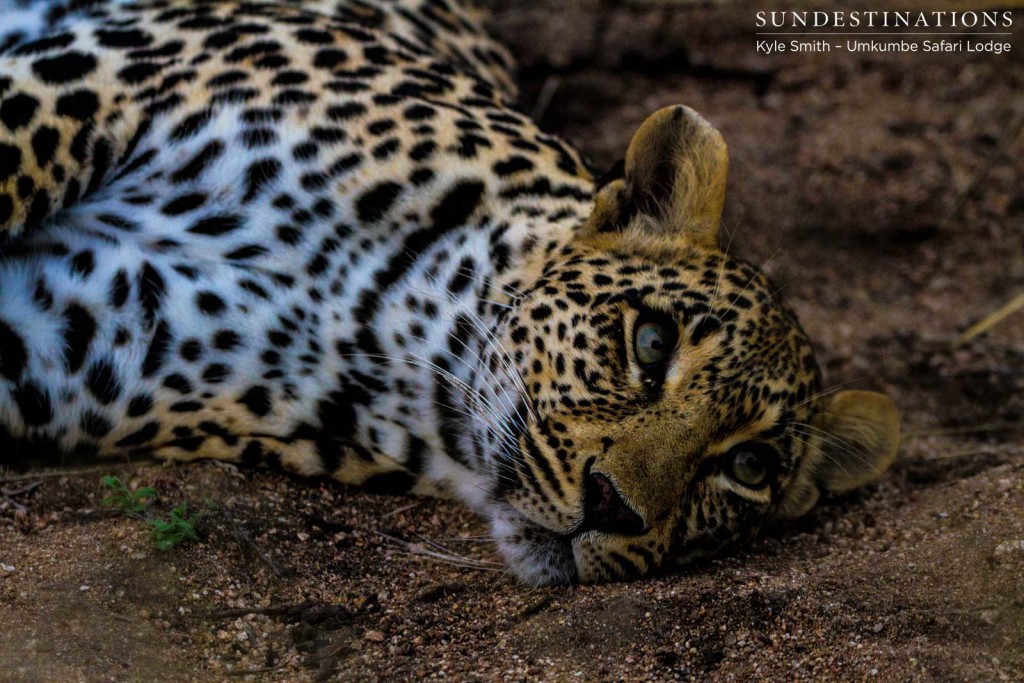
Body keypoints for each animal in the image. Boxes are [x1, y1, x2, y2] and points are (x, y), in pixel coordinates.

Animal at [0, 1, 897, 589]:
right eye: (651, 342)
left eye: (748, 466)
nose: (613, 508)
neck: (382, 322)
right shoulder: (91, 82)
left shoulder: (65, 331)